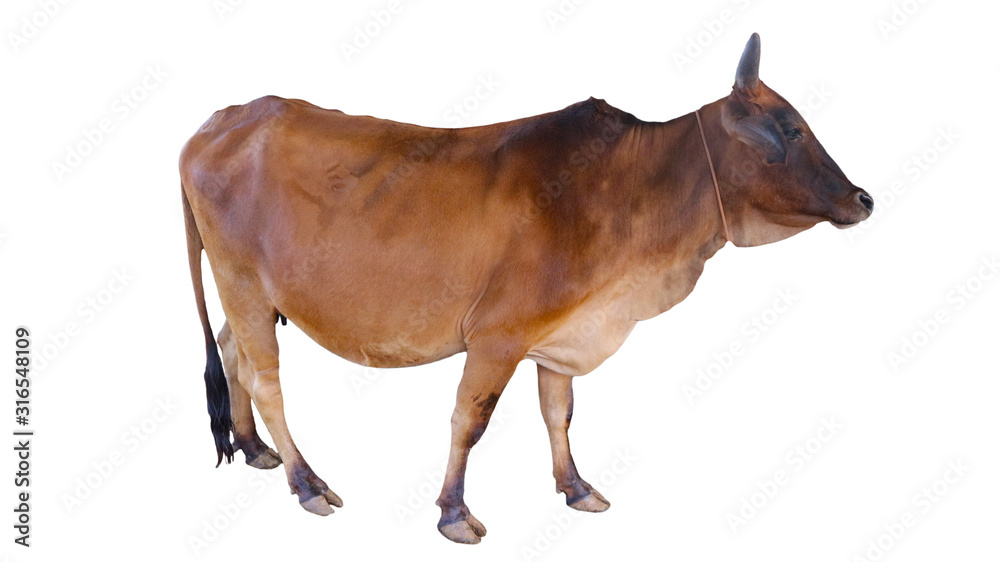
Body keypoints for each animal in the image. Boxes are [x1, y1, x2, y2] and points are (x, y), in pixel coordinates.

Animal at [180, 33, 873, 544]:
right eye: (791, 129)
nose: (863, 198)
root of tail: (220, 120)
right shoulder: (497, 337)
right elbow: (470, 418)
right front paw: (454, 513)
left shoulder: (560, 334)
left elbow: (558, 412)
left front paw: (576, 487)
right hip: (242, 283)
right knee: (266, 378)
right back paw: (307, 483)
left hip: (251, 295)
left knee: (233, 354)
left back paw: (253, 448)